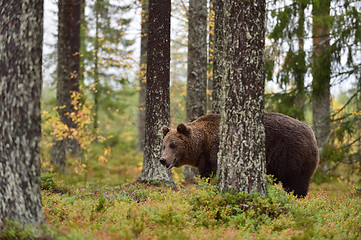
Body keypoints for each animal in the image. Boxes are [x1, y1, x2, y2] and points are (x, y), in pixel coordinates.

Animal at [160, 113, 318, 197]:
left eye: (173, 145)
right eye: (164, 145)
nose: (163, 159)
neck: (203, 145)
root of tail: (311, 132)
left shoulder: (215, 153)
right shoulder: (205, 161)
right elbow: (206, 176)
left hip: (293, 156)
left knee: (297, 183)